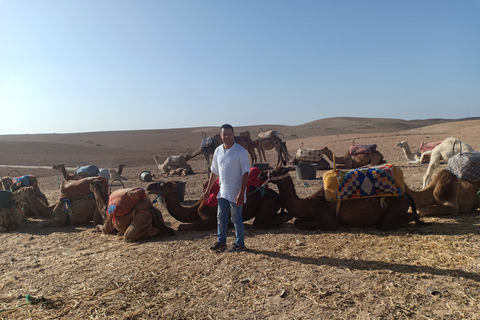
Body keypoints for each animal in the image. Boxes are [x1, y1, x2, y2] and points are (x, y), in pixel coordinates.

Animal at [258, 166, 424, 231]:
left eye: (275, 171)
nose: (260, 174)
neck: (309, 203)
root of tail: (405, 194)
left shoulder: (329, 221)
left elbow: (300, 224)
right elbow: (298, 221)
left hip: (395, 208)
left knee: (389, 223)